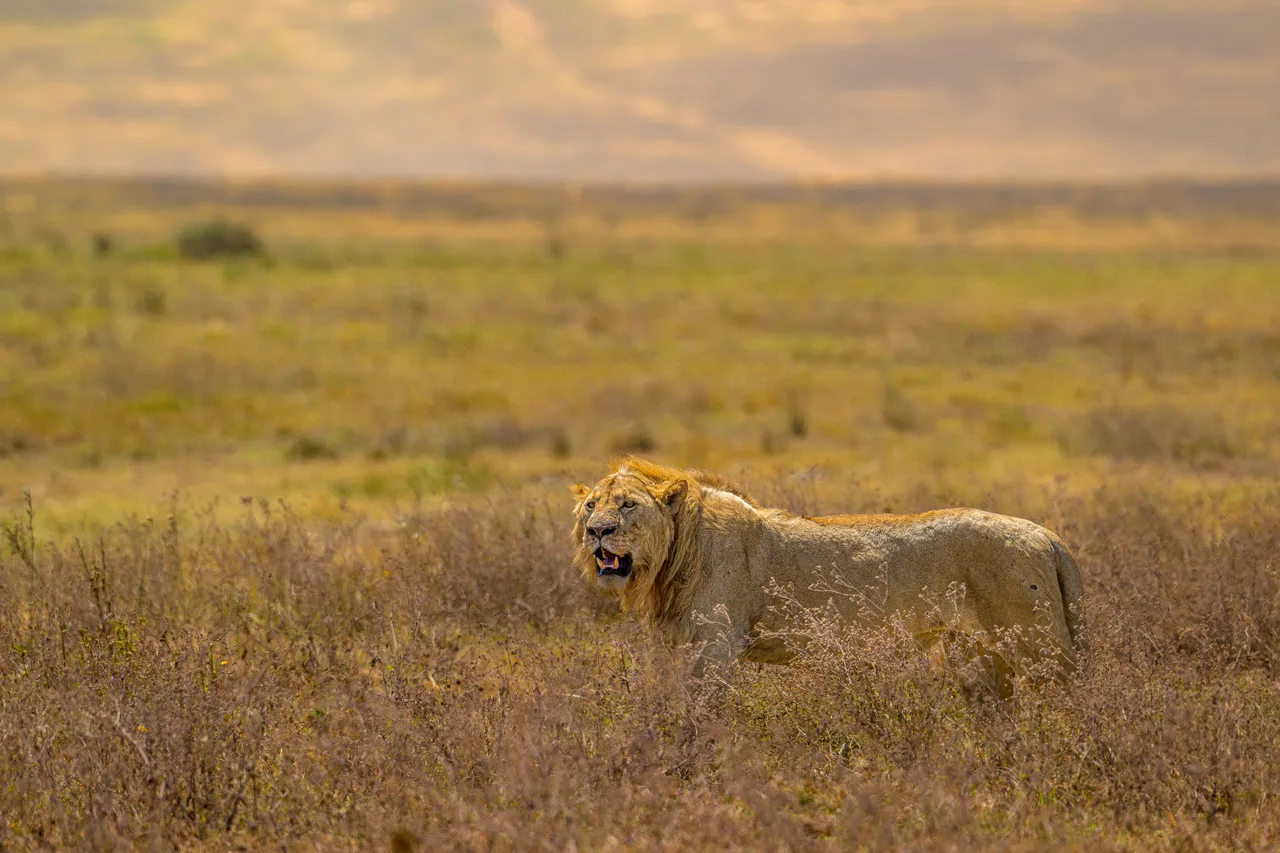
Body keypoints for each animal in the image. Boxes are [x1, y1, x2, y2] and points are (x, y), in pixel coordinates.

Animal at [572, 457, 1084, 690]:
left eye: (628, 505)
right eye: (591, 505)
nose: (598, 532)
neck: (673, 557)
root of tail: (1047, 536)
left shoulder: (716, 645)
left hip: (1038, 648)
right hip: (981, 654)